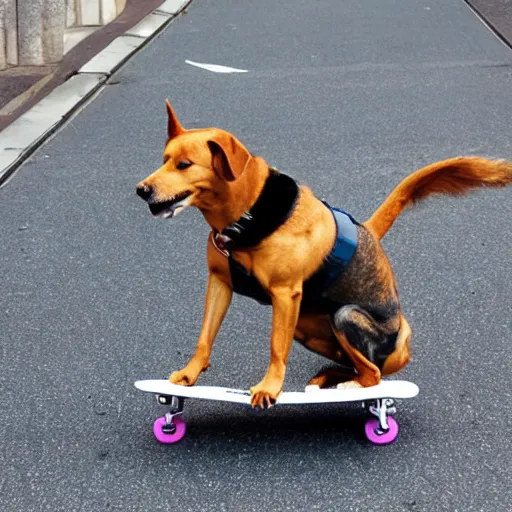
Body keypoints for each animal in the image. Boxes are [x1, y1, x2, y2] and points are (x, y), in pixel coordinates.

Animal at [136, 102, 512, 410]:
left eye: (185, 164)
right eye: (163, 160)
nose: (141, 190)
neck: (246, 215)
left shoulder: (285, 295)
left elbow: (276, 347)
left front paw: (270, 387)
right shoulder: (219, 284)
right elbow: (204, 337)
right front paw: (189, 376)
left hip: (345, 317)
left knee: (374, 375)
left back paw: (350, 388)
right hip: (305, 326)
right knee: (359, 367)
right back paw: (328, 381)